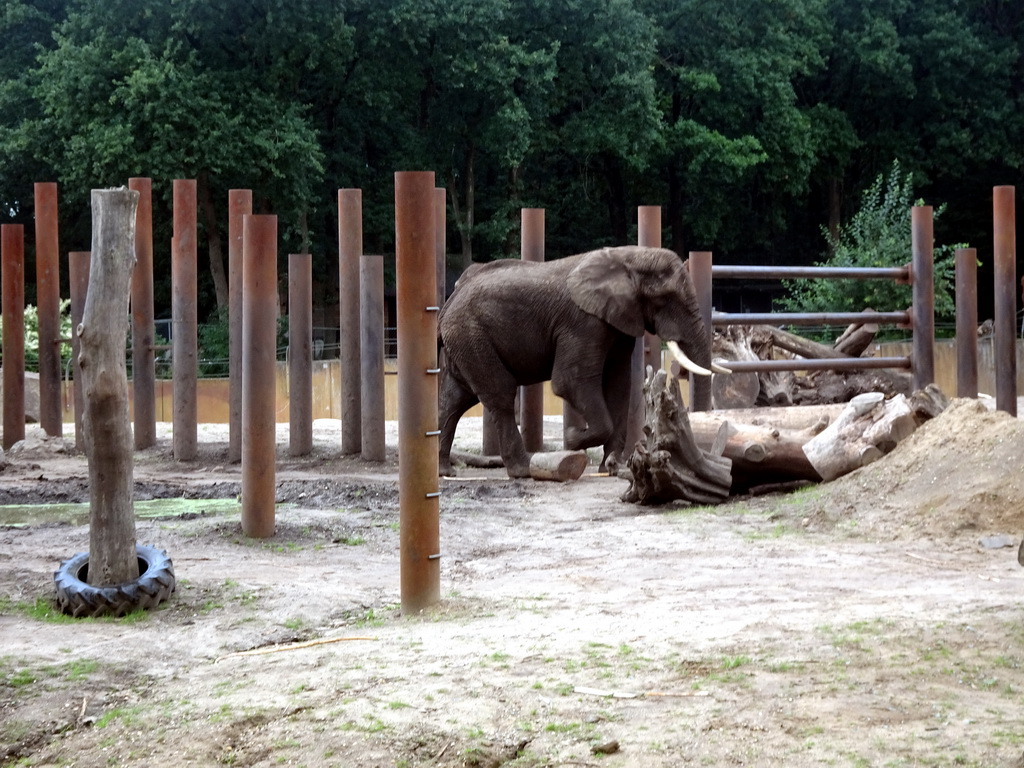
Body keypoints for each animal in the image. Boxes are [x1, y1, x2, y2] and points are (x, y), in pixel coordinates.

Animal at [436, 246, 716, 479]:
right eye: (665, 299)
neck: (629, 257)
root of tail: (451, 299)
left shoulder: (619, 319)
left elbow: (618, 385)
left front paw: (611, 466)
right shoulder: (583, 323)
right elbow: (570, 381)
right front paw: (572, 440)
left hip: (464, 340)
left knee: (454, 400)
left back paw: (444, 471)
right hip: (471, 334)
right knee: (499, 394)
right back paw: (524, 470)